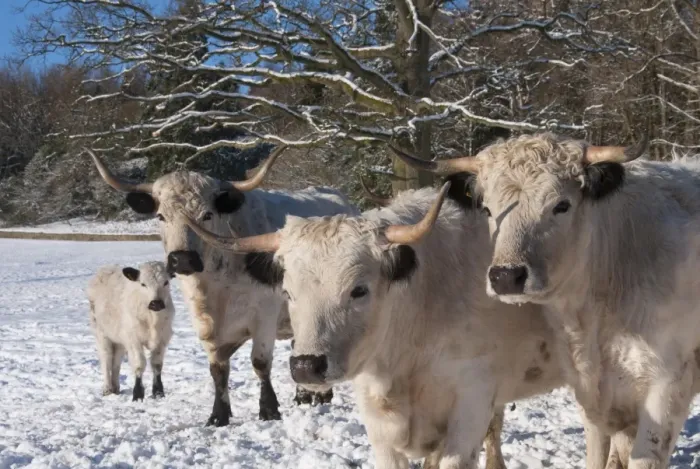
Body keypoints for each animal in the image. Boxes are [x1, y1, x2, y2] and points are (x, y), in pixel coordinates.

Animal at [87, 261, 175, 401]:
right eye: (143, 284)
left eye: (166, 282)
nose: (156, 303)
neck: (152, 319)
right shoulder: (134, 340)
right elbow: (139, 364)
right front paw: (137, 394)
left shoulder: (162, 339)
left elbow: (157, 364)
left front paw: (158, 392)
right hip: (102, 334)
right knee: (106, 359)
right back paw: (107, 389)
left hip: (119, 341)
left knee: (116, 362)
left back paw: (115, 388)